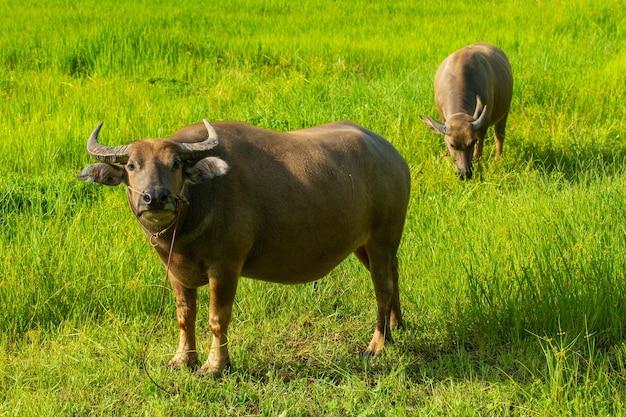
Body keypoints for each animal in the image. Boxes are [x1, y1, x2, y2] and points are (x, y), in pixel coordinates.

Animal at [78, 118, 410, 376]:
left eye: (175, 164)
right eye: (133, 165)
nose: (155, 197)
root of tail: (392, 155)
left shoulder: (225, 266)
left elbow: (217, 318)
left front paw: (214, 366)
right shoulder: (174, 269)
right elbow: (185, 316)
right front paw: (182, 359)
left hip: (383, 236)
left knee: (382, 287)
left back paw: (377, 345)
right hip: (365, 244)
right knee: (394, 275)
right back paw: (397, 327)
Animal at [420, 42, 512, 179]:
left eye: (472, 142)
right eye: (452, 144)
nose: (464, 173)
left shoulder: (483, 125)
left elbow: (479, 150)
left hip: (504, 112)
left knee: (499, 135)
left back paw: (497, 159)